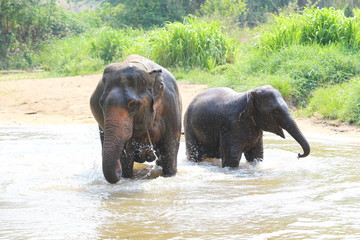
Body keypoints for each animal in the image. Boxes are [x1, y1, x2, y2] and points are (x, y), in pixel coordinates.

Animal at [89, 54, 181, 183]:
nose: (118, 170)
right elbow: (126, 158)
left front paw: (169, 176)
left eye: (132, 105)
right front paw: (126, 176)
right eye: (101, 104)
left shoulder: (170, 108)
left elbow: (169, 152)